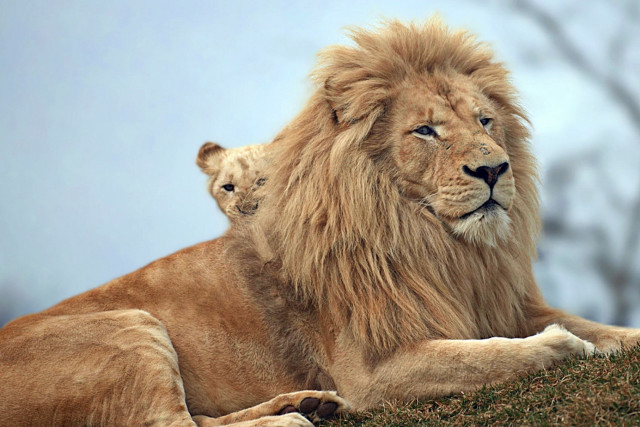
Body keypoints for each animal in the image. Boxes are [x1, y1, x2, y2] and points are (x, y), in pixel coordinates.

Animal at [2, 18, 640, 426]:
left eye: (485, 120)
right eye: (425, 130)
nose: (493, 169)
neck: (439, 245)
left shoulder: (499, 303)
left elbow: (604, 331)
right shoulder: (372, 371)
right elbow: (493, 355)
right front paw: (565, 345)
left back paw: (307, 404)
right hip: (130, 323)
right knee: (166, 425)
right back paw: (292, 419)